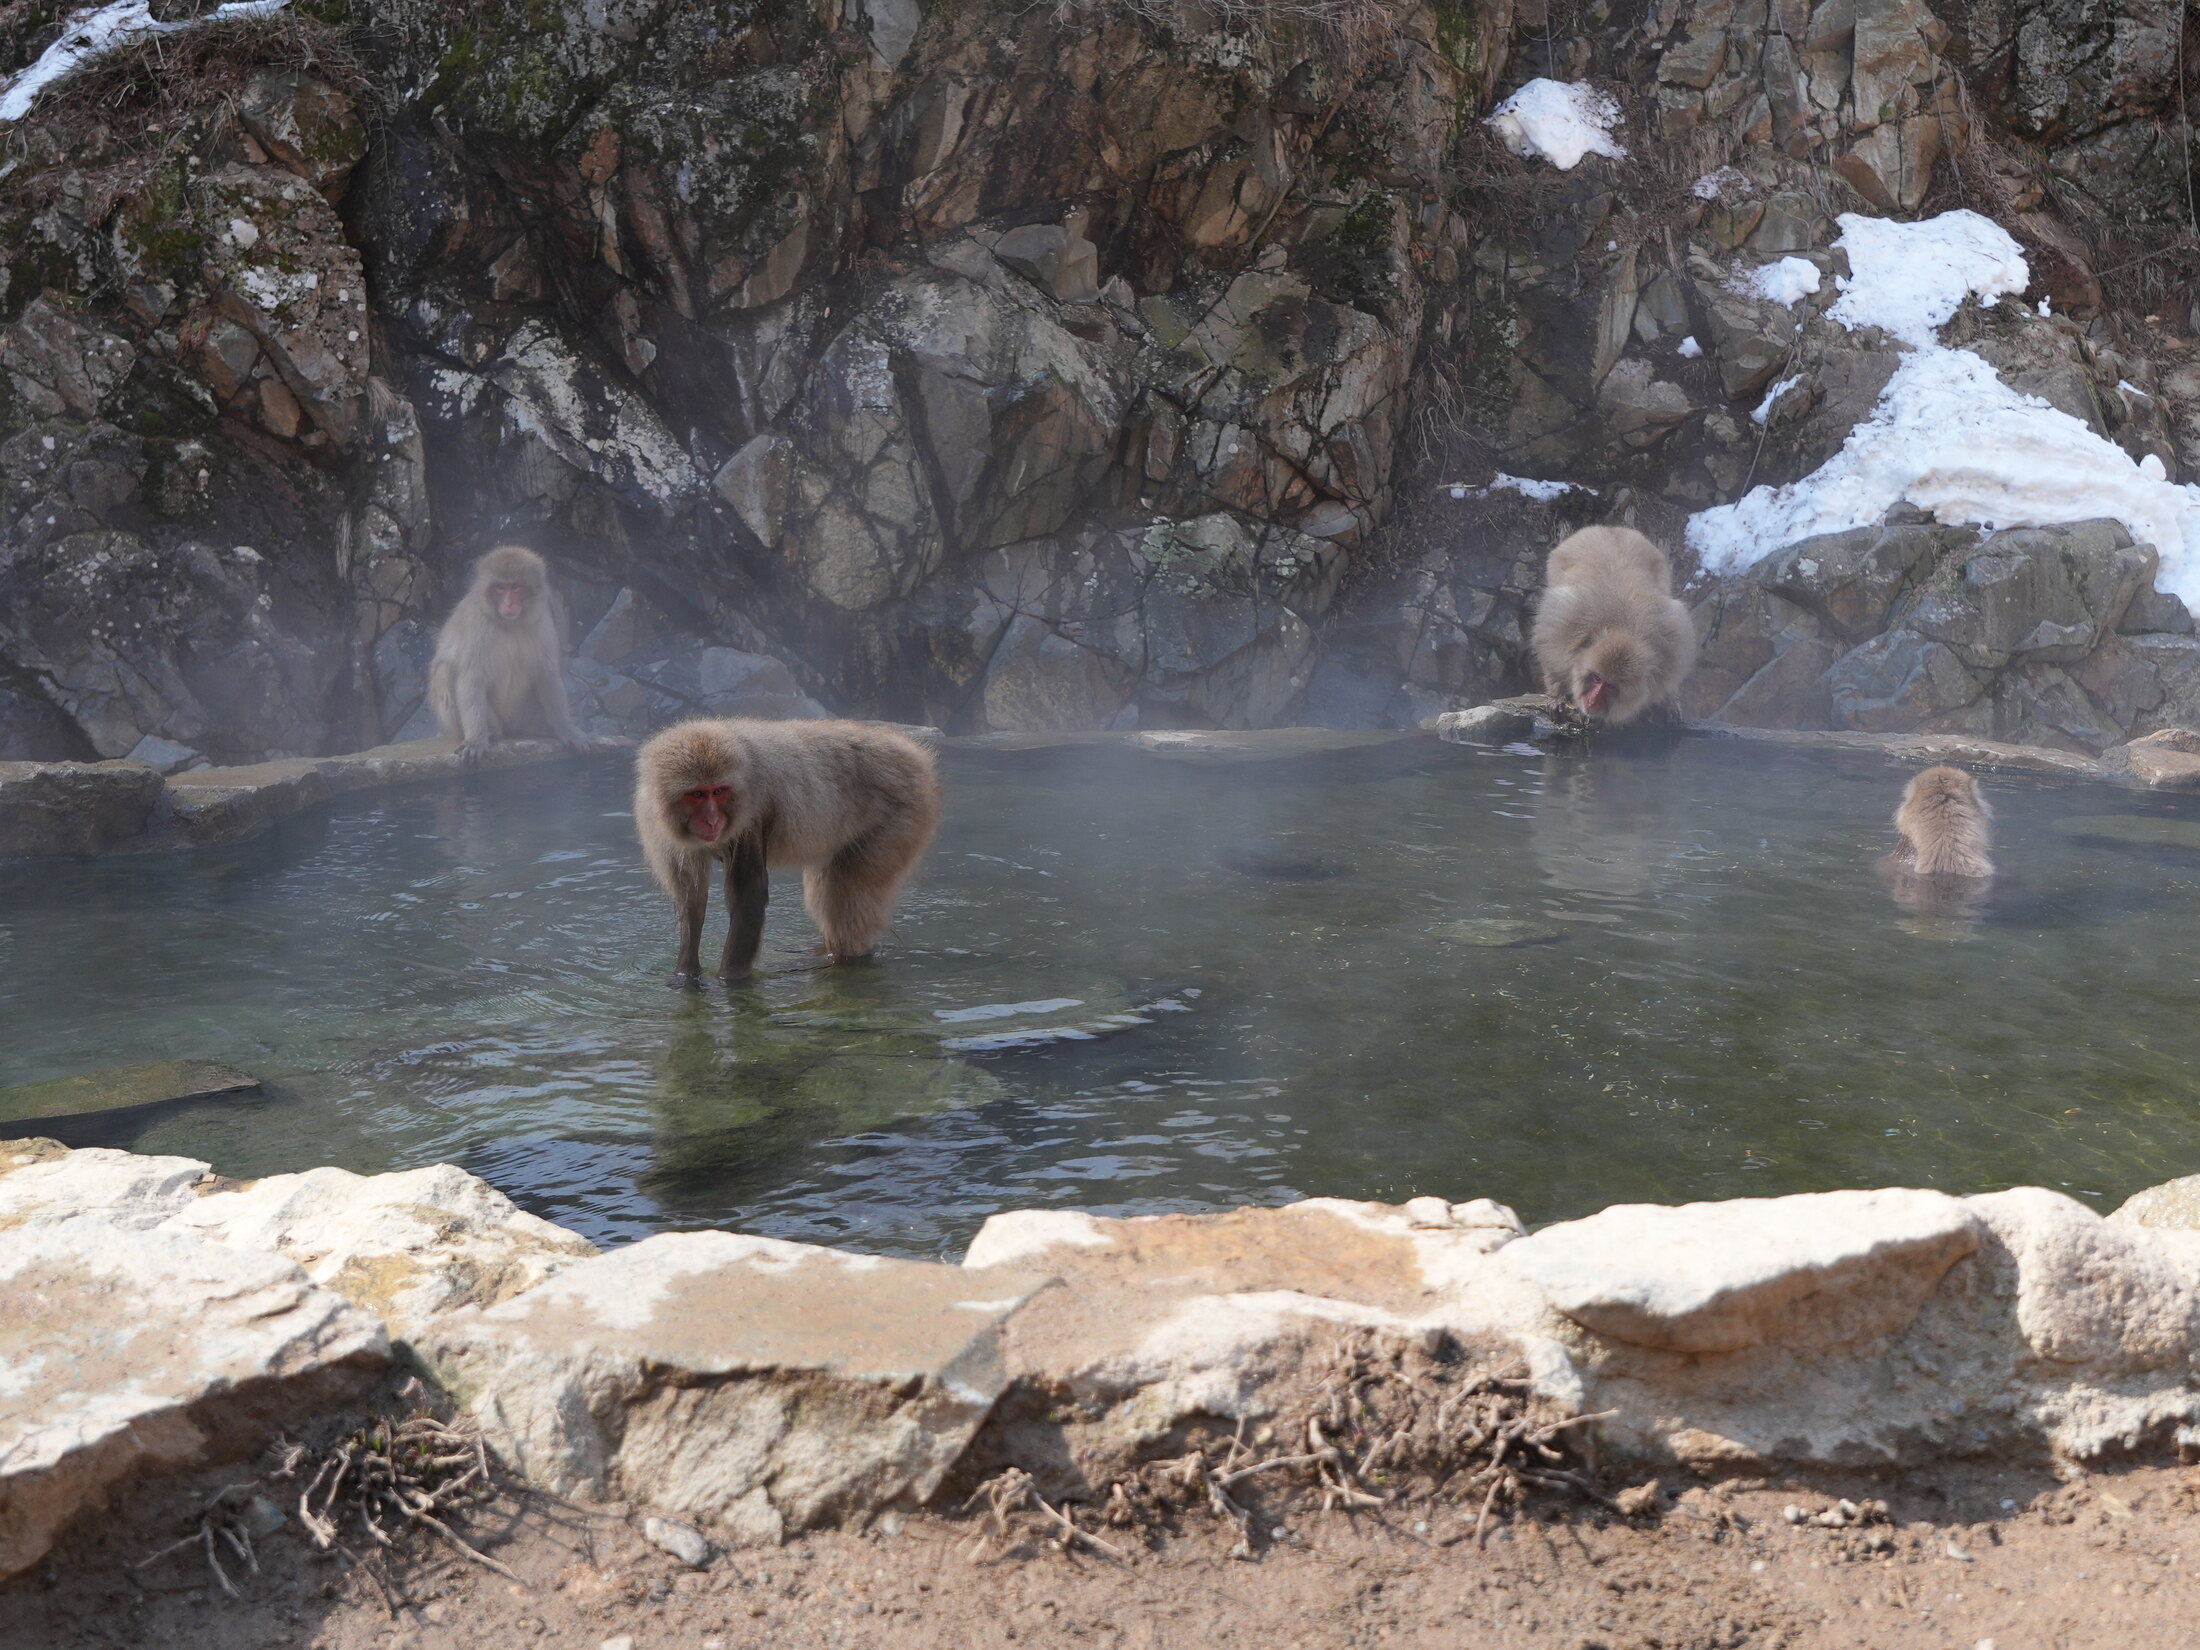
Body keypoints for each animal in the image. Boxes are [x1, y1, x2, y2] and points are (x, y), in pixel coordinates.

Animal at [427, 544, 603, 767]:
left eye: (516, 587)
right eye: (500, 587)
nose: (509, 603)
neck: (510, 624)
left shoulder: (543, 623)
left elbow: (547, 676)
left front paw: (567, 730)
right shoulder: (478, 627)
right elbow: (472, 680)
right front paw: (476, 740)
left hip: (527, 716)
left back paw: (548, 729)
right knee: (445, 670)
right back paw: (491, 732)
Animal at [634, 718, 941, 984]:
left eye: (718, 791)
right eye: (698, 794)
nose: (712, 820)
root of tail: (912, 752)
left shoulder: (753, 814)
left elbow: (748, 896)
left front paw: (728, 982)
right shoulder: (661, 828)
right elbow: (692, 901)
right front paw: (686, 975)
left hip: (900, 818)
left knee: (846, 895)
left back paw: (840, 959)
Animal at [1530, 526, 1696, 726]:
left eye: (1610, 686)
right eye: (1596, 678)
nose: (1593, 701)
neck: (1623, 629)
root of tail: (1612, 528)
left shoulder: (1672, 647)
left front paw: (1668, 700)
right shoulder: (1566, 621)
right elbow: (1551, 654)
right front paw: (1557, 696)